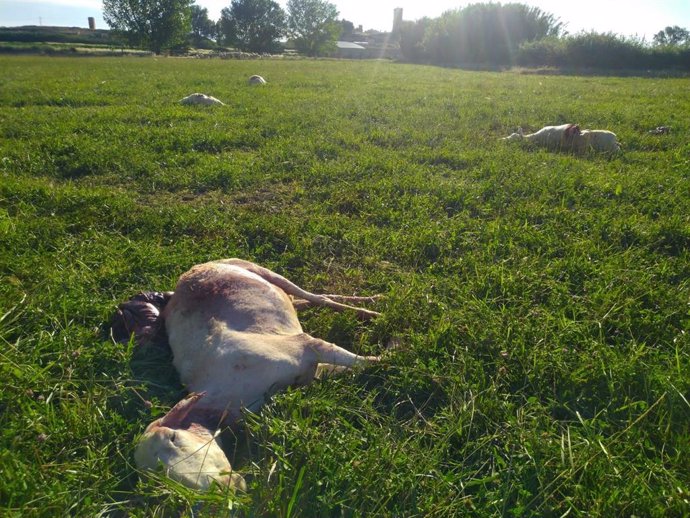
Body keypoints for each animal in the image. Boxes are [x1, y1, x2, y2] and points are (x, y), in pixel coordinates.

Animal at [114, 260, 382, 492]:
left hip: (260, 270)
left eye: (173, 437)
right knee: (303, 302)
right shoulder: (311, 371)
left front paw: (389, 359)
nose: (221, 489)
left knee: (318, 297)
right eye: (160, 478)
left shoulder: (304, 346)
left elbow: (363, 363)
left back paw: (372, 308)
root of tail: (189, 274)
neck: (224, 396)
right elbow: (351, 369)